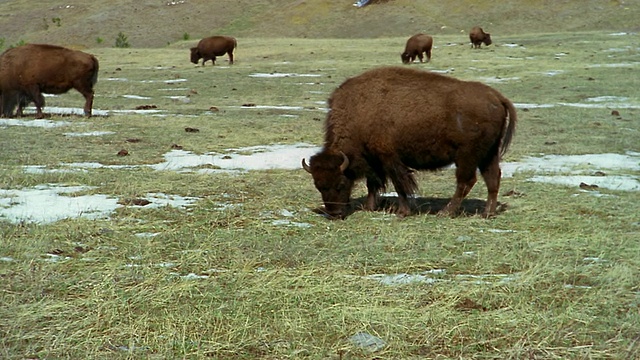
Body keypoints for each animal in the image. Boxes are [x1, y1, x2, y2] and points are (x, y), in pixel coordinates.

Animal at [302, 66, 516, 221]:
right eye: (318, 186)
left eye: (340, 183)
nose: (334, 215)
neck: (360, 112)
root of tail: (497, 97)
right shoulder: (373, 160)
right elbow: (373, 184)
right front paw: (370, 207)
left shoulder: (390, 159)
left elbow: (400, 185)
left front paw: (403, 212)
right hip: (489, 153)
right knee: (492, 178)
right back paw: (487, 213)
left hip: (467, 156)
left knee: (466, 181)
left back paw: (446, 212)